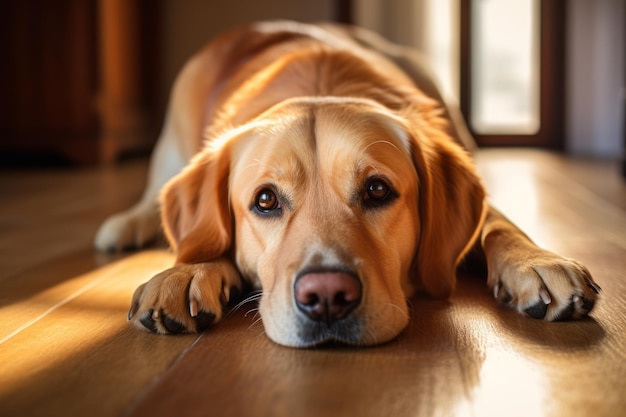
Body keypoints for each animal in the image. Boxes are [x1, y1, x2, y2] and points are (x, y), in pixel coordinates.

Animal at [94, 21, 600, 346]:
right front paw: (185, 272)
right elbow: (202, 238)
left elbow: (497, 224)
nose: (326, 298)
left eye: (377, 190)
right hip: (171, 140)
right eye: (264, 200)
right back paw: (124, 226)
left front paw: (535, 262)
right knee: (151, 196)